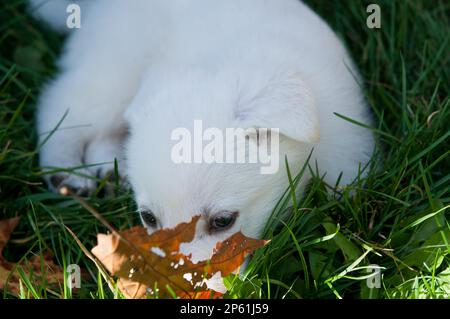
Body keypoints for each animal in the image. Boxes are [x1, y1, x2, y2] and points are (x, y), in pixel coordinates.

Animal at [30, 0, 372, 262]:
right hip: (111, 74)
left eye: (223, 221)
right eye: (148, 218)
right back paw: (66, 172)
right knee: (61, 104)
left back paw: (109, 170)